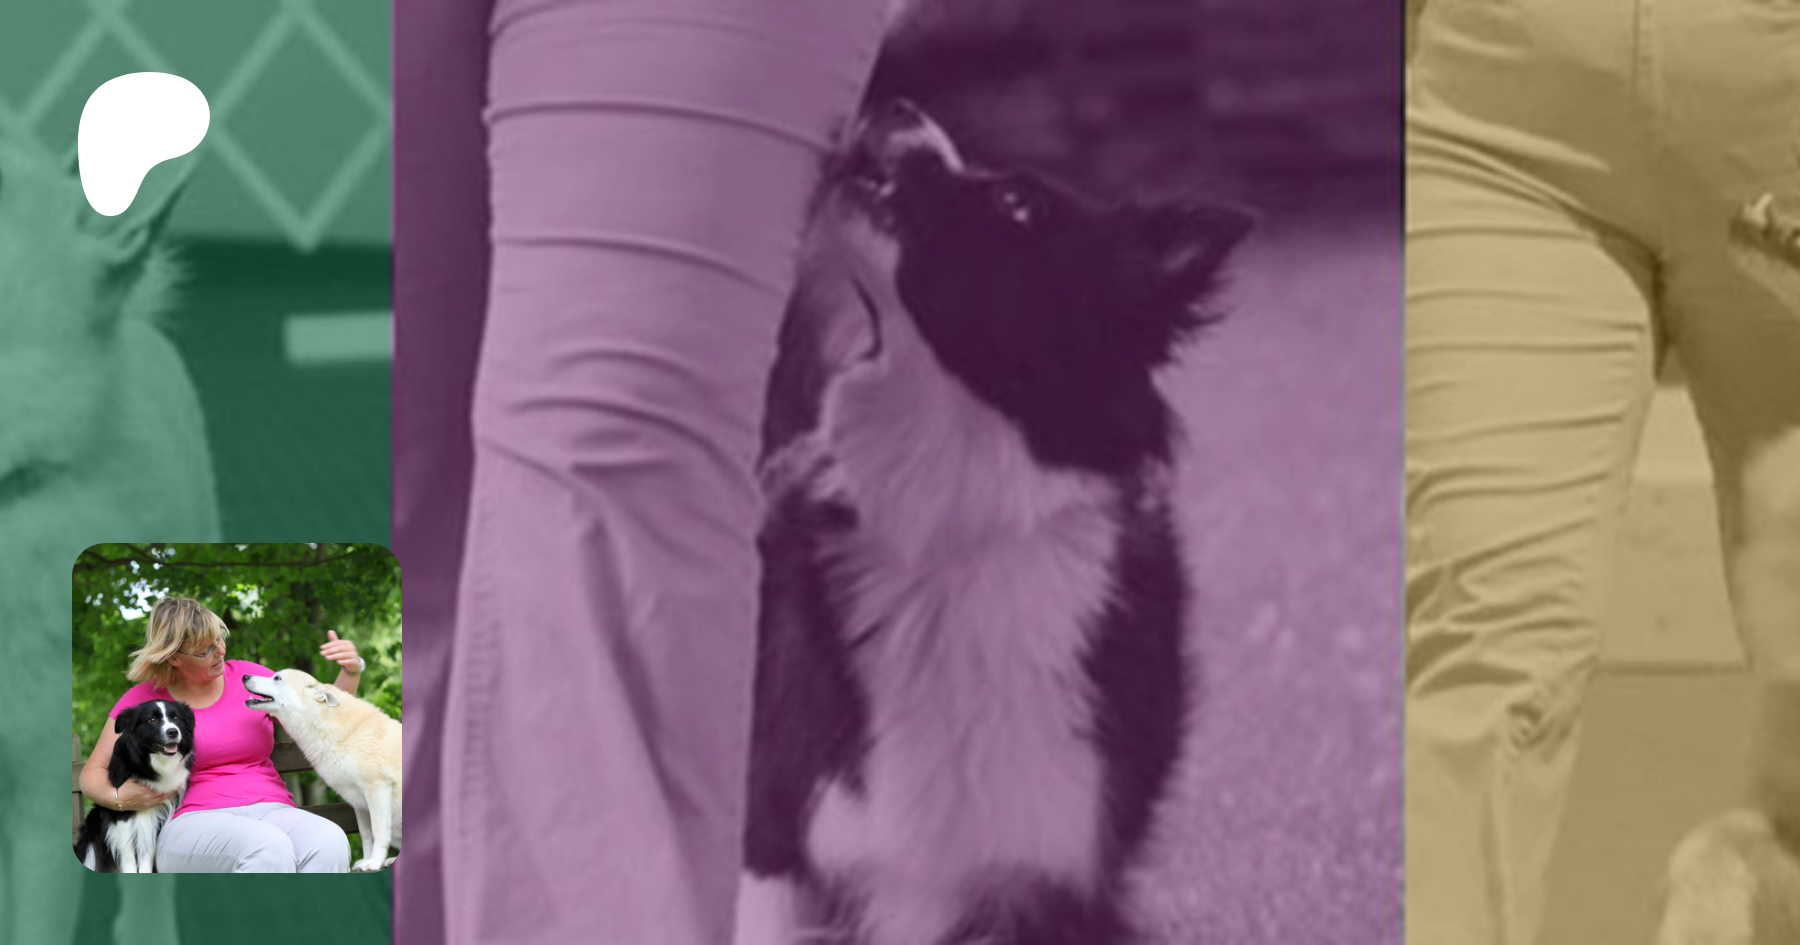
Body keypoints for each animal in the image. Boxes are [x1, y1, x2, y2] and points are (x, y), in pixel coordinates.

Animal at [73, 700, 195, 873]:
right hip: (92, 835)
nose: (173, 732)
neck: (149, 761)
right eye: (152, 720)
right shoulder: (122, 811)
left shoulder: (157, 811)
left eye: (176, 718)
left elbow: (147, 849)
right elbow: (128, 851)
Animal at [242, 669, 401, 872]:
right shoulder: (359, 802)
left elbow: (378, 831)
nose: (245, 676)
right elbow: (366, 835)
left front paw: (374, 862)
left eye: (277, 678)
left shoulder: (377, 787)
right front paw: (366, 860)